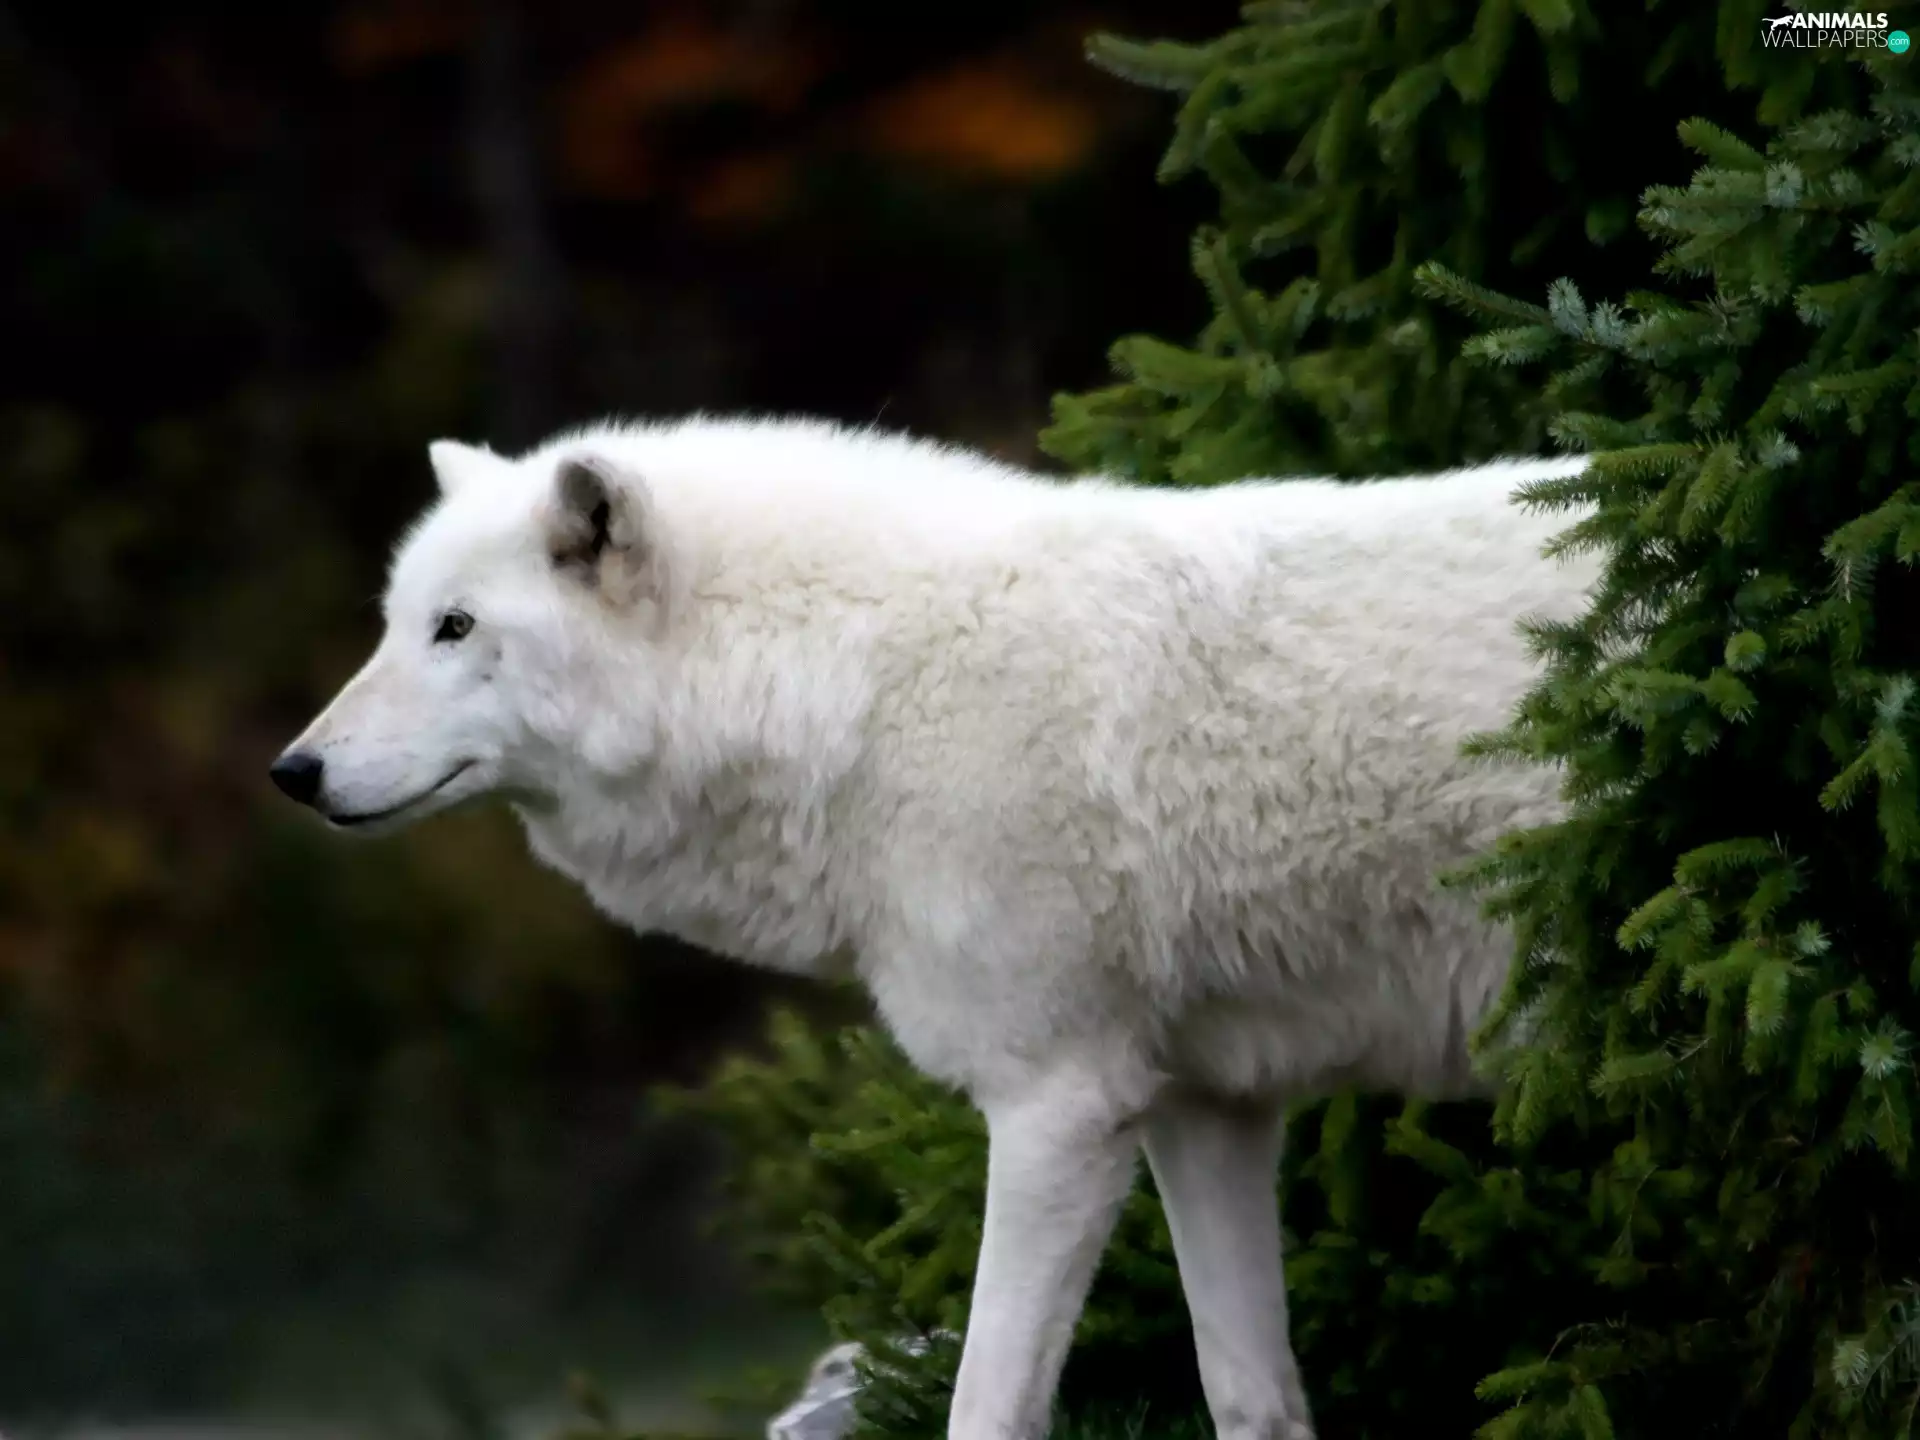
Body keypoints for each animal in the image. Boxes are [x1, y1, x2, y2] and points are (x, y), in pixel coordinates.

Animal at [271, 416, 1599, 1440]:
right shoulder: (1203, 1106)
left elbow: (987, 1406)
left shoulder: (1058, 1107)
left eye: (455, 628)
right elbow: (1247, 1394)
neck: (860, 687)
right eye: (394, 623)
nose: (293, 771)